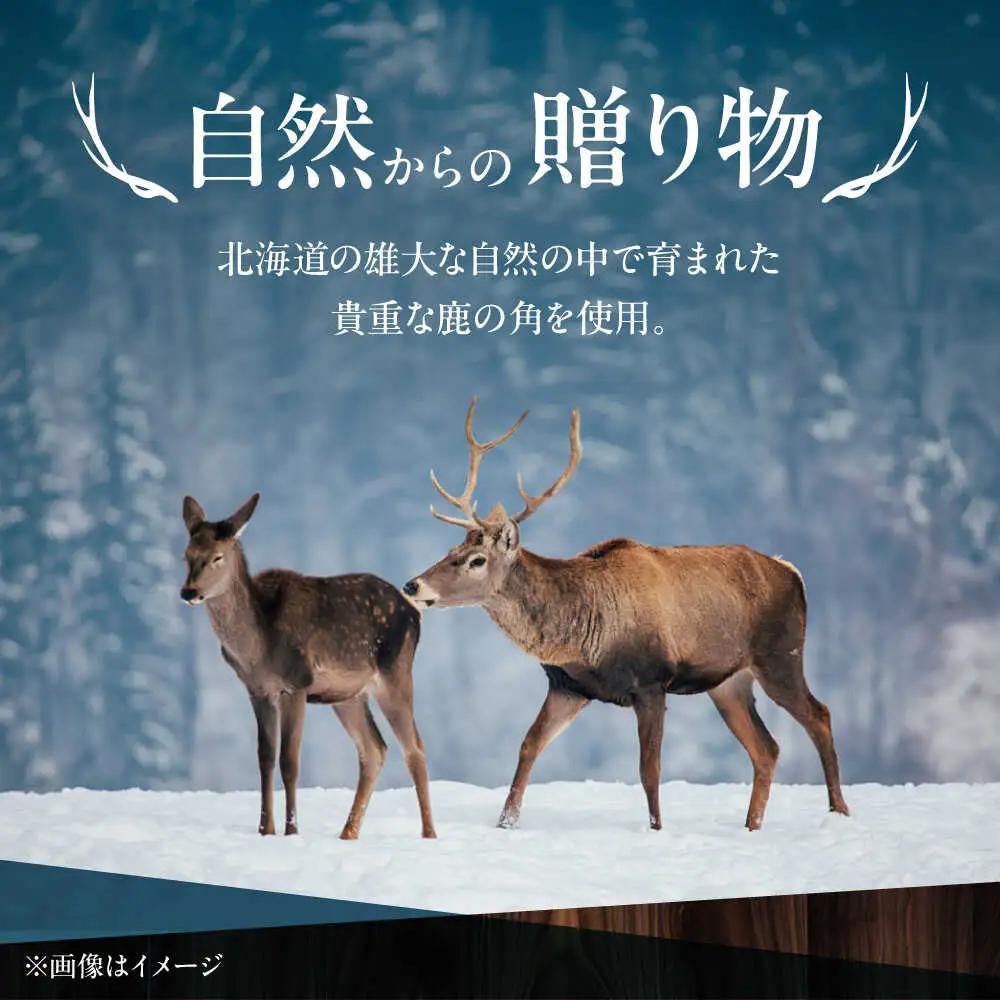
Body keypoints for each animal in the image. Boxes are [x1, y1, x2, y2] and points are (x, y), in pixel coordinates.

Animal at [180, 493, 436, 840]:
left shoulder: (297, 683)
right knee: (374, 749)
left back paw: (428, 834)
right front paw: (265, 830)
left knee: (414, 749)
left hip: (395, 671)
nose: (189, 591)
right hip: (348, 695)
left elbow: (289, 760)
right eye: (187, 555)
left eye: (217, 557)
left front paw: (291, 830)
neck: (257, 647)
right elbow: (265, 758)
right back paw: (347, 832)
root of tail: (415, 614)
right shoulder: (257, 690)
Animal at [403, 399, 849, 833]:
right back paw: (751, 825)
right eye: (450, 550)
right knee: (767, 748)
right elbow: (528, 745)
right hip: (728, 681)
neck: (580, 636)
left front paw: (656, 828)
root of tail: (792, 572)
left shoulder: (652, 681)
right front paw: (505, 822)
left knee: (820, 715)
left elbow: (649, 768)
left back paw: (838, 811)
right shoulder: (568, 686)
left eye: (476, 560)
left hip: (781, 655)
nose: (412, 585)